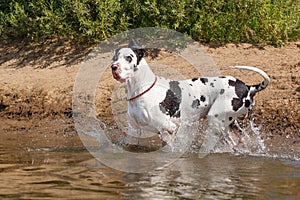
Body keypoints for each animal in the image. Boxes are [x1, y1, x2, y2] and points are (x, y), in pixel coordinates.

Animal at [110, 40, 270, 150]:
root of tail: (247, 87)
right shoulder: (133, 132)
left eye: (129, 57)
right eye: (115, 57)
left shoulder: (168, 130)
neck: (141, 89)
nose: (114, 67)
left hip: (215, 121)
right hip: (229, 124)